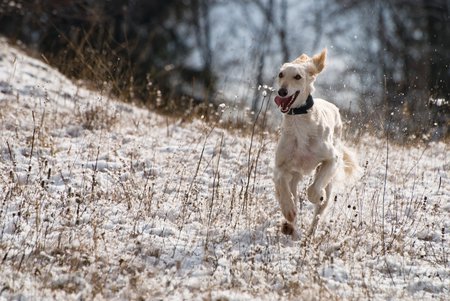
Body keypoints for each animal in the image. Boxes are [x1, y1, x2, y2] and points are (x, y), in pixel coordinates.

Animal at [270, 48, 358, 238]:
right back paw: (290, 226)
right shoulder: (281, 166)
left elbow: (313, 190)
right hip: (295, 175)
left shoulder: (332, 159)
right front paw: (288, 211)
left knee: (319, 211)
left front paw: (318, 195)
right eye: (281, 74)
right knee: (292, 189)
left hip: (330, 178)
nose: (282, 92)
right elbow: (281, 185)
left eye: (297, 76)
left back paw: (310, 233)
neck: (300, 123)